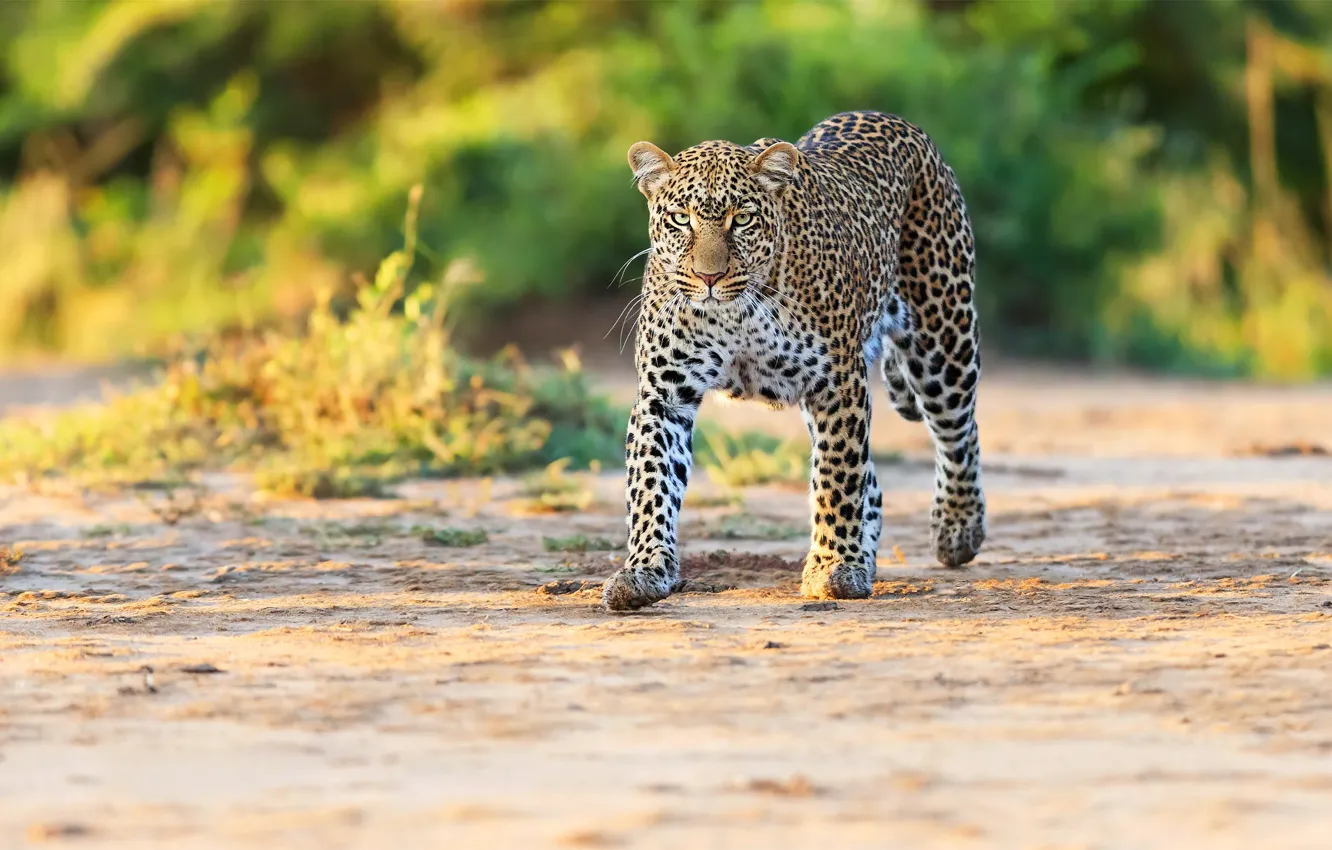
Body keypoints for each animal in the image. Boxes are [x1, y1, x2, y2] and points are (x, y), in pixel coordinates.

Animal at [604, 111, 991, 612]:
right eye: (680, 219)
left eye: (742, 220)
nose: (710, 277)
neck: (735, 314)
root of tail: (893, 119)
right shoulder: (663, 394)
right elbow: (651, 483)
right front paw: (645, 571)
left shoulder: (838, 383)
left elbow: (837, 478)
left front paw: (834, 568)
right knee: (875, 481)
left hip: (942, 338)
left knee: (958, 431)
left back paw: (958, 527)